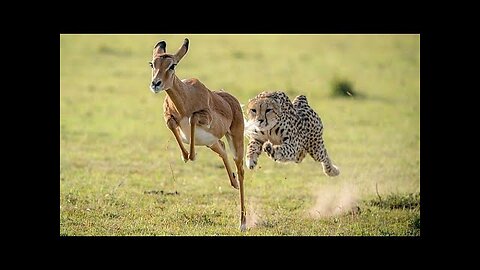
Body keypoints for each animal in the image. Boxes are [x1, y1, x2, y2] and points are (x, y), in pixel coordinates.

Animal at [149, 38, 248, 232]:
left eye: (172, 65)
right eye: (152, 64)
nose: (156, 84)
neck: (186, 99)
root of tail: (231, 99)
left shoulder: (204, 117)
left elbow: (193, 118)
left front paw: (191, 155)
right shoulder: (169, 117)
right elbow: (172, 124)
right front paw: (185, 155)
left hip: (235, 140)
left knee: (241, 170)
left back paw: (242, 222)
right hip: (212, 142)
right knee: (222, 149)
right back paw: (232, 182)